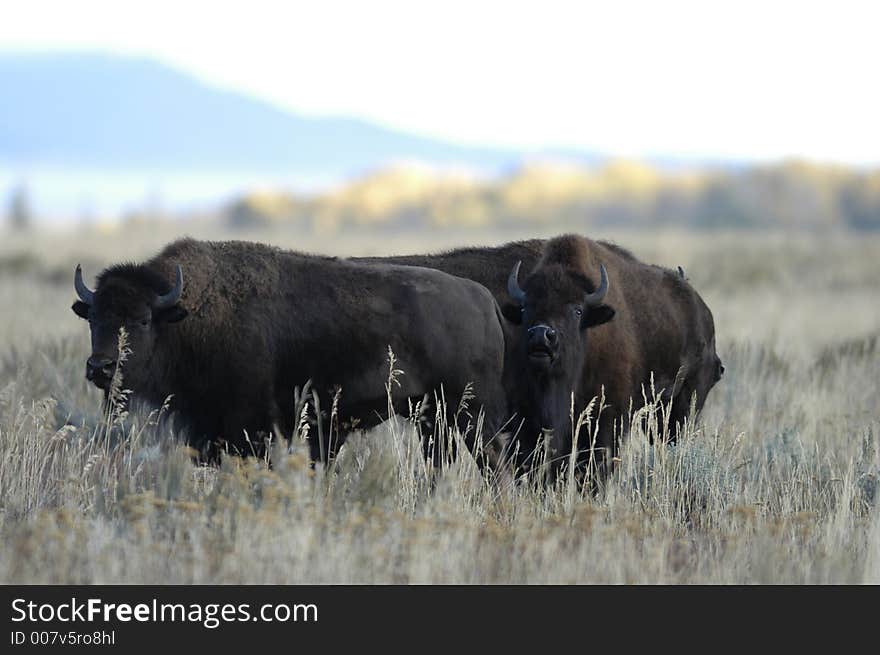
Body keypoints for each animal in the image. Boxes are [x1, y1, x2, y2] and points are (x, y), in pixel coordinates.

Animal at [72, 236, 512, 466]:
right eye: (92, 317)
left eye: (143, 320)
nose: (100, 367)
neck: (187, 316)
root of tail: (483, 298)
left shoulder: (250, 431)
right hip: (434, 418)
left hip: (472, 414)